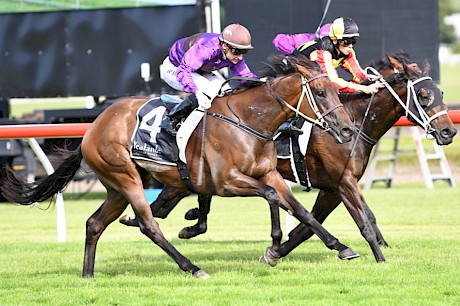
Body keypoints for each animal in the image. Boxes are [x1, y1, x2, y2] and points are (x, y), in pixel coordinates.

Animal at [1, 54, 358, 278]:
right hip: (126, 177)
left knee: (94, 223)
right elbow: (271, 198)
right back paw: (193, 267)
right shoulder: (227, 182)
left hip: (116, 187)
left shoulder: (268, 173)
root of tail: (92, 129)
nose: (346, 130)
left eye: (337, 90)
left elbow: (301, 211)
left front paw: (341, 247)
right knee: (149, 225)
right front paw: (271, 248)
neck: (249, 121)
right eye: (321, 92)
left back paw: (88, 275)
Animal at [122, 51, 456, 264]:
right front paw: (379, 256)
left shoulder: (331, 189)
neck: (356, 119)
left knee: (168, 202)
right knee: (164, 203)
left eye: (440, 93)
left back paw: (182, 220)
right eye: (424, 96)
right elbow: (362, 219)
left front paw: (276, 252)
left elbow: (307, 225)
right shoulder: (343, 182)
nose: (449, 131)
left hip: (187, 176)